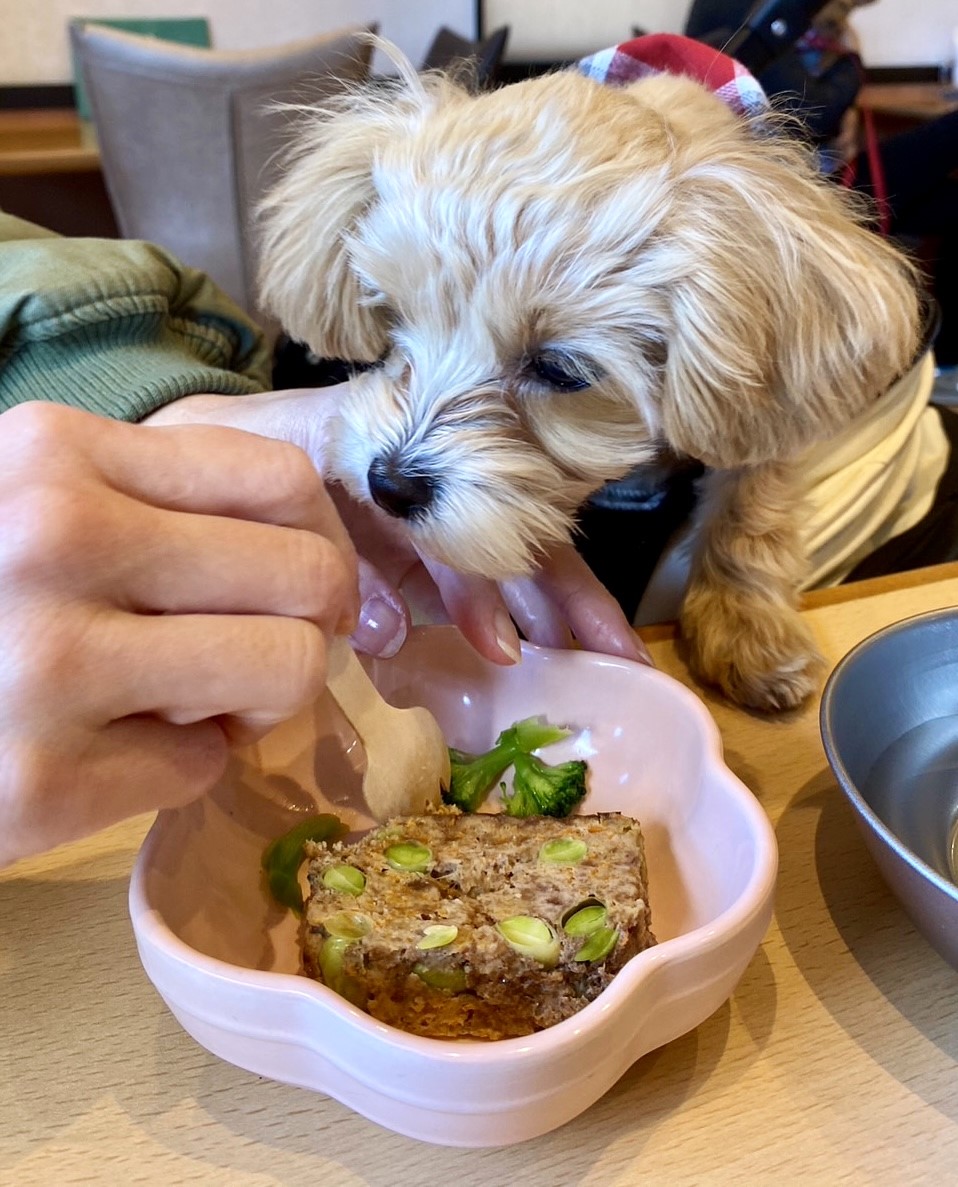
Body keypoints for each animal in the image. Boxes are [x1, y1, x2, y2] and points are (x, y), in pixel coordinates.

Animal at [255, 51, 921, 707]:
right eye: (394, 316)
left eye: (559, 369)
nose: (390, 487)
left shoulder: (767, 406)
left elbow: (753, 499)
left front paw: (747, 630)